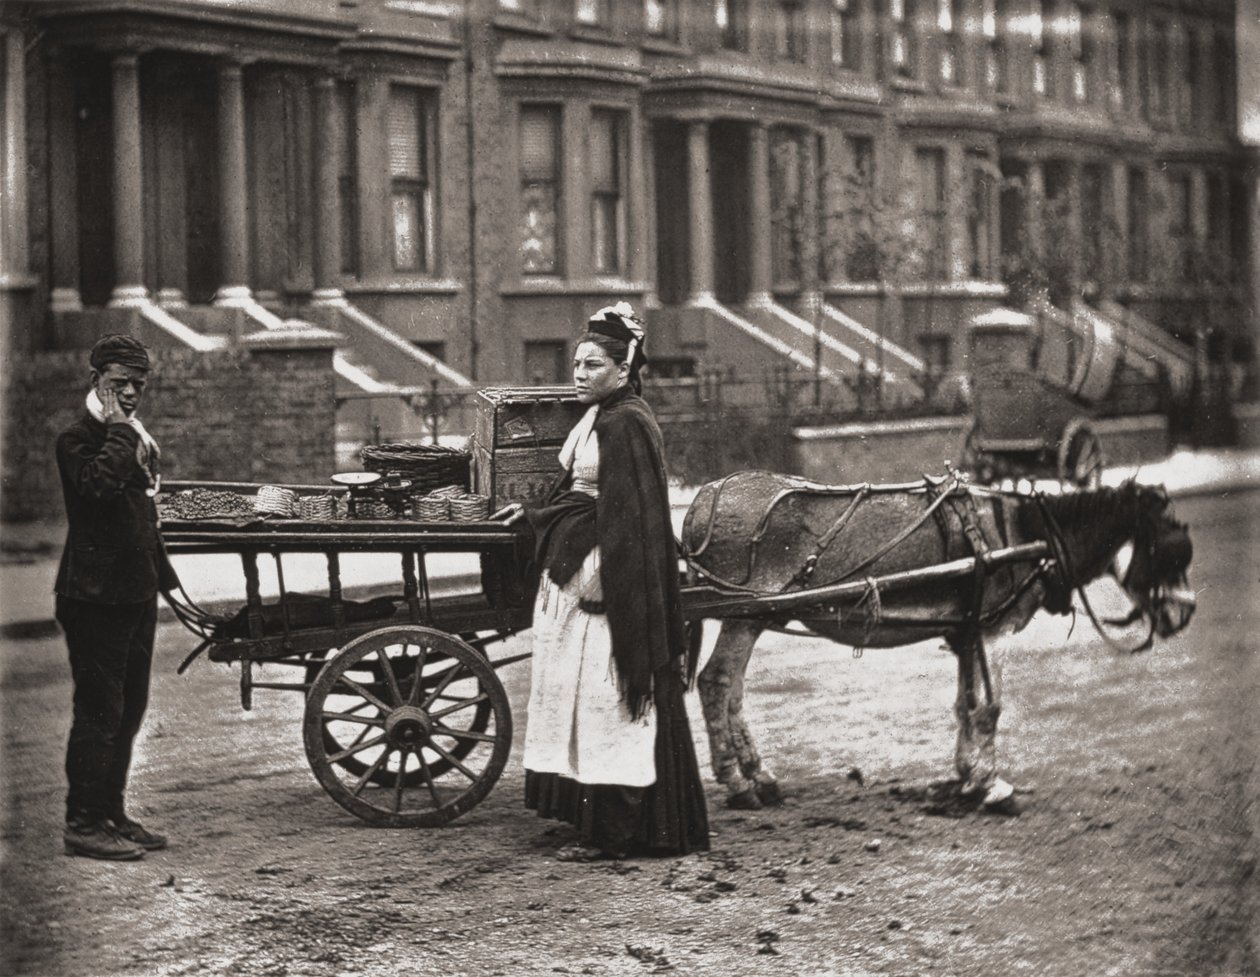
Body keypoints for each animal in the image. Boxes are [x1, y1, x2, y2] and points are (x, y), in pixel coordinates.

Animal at [685, 471, 1194, 811]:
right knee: (717, 683)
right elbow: (990, 709)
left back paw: (759, 776)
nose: (1183, 614)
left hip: (753, 618)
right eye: (1172, 549)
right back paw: (738, 783)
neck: (1026, 532)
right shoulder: (993, 633)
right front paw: (991, 784)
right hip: (746, 617)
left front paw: (967, 777)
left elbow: (965, 705)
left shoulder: (967, 632)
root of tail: (705, 497)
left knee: (732, 691)